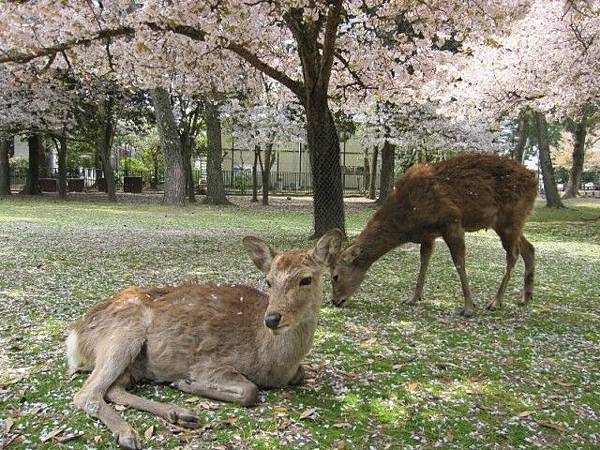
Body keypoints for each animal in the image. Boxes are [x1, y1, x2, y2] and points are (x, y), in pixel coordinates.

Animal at [65, 230, 342, 448]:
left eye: (306, 279)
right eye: (269, 281)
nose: (272, 318)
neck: (274, 364)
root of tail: (75, 336)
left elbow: (300, 374)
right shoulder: (209, 362)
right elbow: (250, 390)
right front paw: (186, 383)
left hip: (134, 362)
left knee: (113, 389)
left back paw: (180, 414)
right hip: (122, 336)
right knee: (87, 393)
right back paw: (128, 434)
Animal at [330, 155, 536, 316]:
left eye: (335, 276)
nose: (335, 301)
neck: (406, 222)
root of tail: (535, 179)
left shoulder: (451, 220)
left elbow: (459, 262)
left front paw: (469, 307)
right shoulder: (428, 235)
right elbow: (424, 263)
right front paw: (413, 298)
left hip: (510, 217)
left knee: (514, 254)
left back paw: (495, 302)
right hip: (509, 222)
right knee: (529, 248)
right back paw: (525, 298)